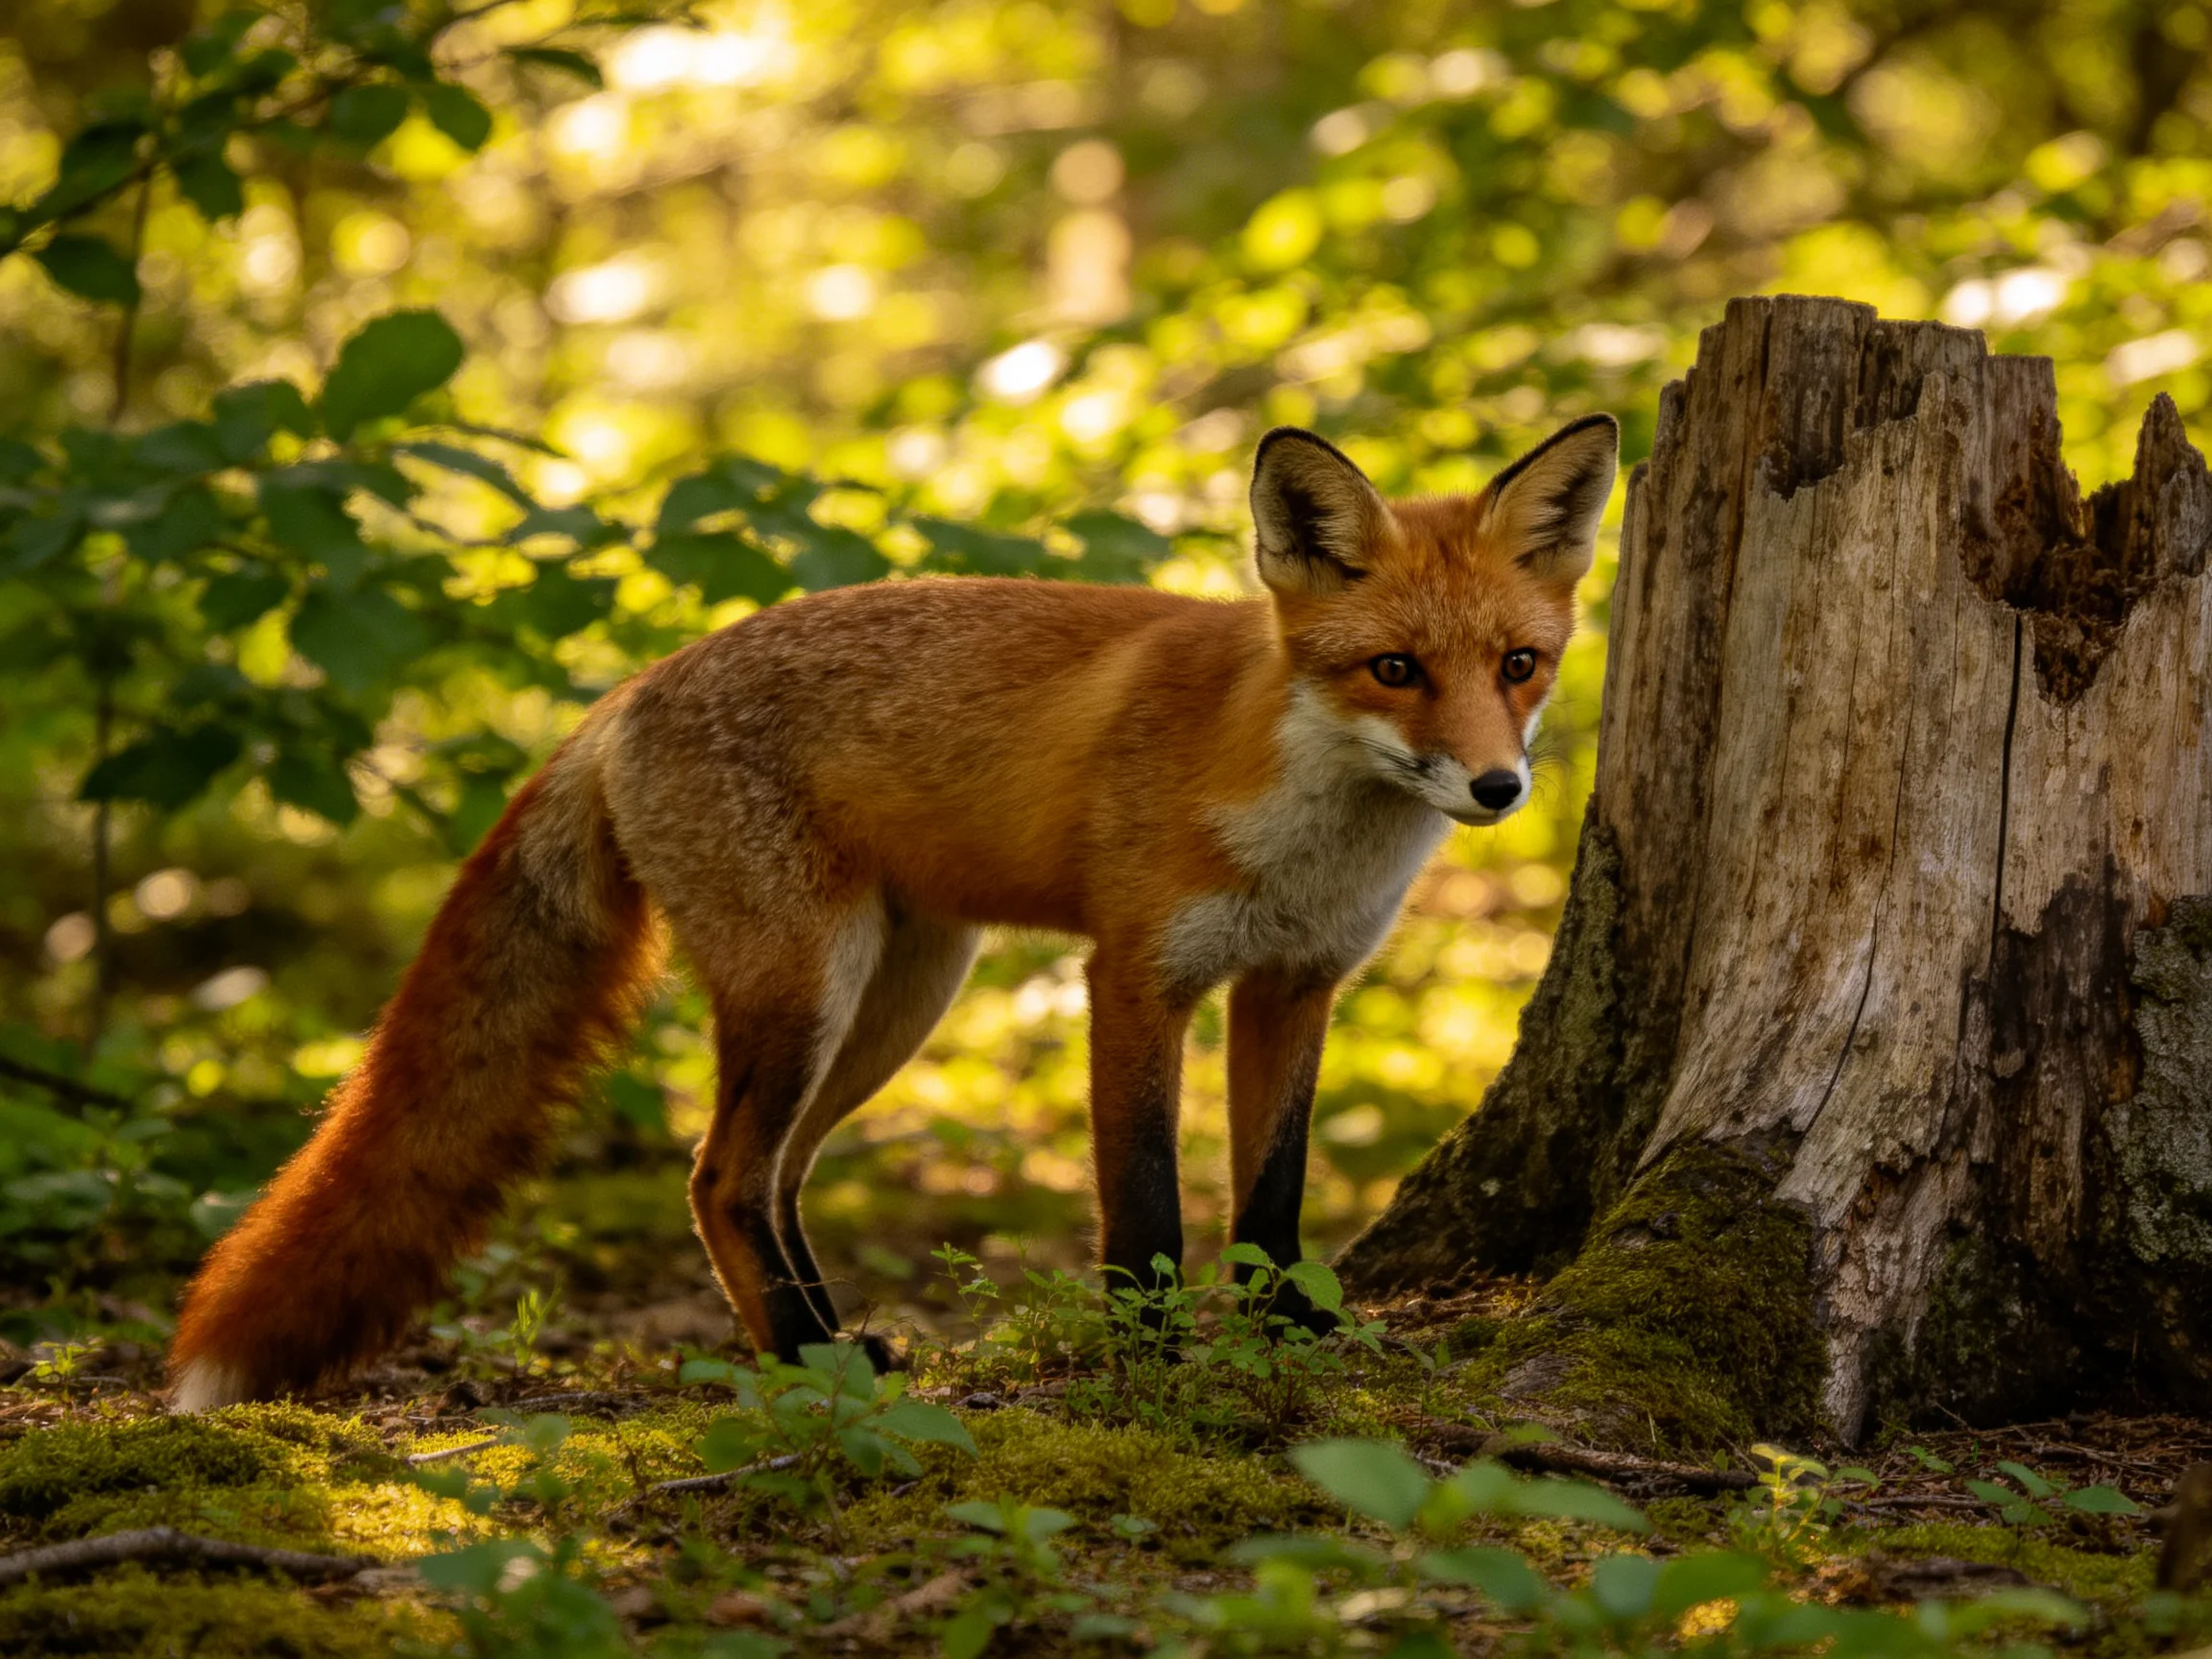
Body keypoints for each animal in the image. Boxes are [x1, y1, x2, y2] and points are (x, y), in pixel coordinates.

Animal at [166, 414, 1618, 1409]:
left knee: (776, 1177)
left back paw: (832, 1340)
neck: (1297, 818)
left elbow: (1270, 1199)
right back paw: (806, 1362)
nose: (1497, 786)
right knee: (717, 1177)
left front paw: (1297, 1343)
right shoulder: (1134, 979)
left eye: (1519, 663)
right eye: (1395, 671)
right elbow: (1144, 1208)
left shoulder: (1292, 985)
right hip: (806, 988)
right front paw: (1149, 1369)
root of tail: (631, 689)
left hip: (898, 999)